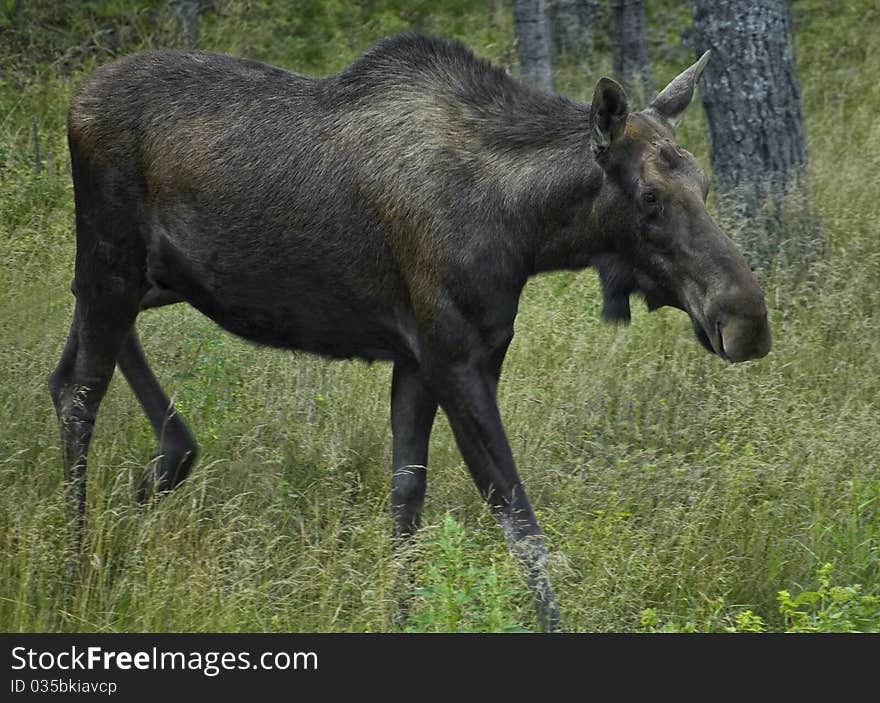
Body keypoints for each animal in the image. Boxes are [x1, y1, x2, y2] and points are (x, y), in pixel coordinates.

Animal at [49, 35, 768, 632]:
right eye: (649, 198)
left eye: (705, 182)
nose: (748, 321)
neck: (531, 233)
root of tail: (74, 98)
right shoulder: (455, 357)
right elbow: (518, 517)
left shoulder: (420, 360)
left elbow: (407, 498)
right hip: (113, 257)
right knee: (82, 390)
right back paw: (76, 567)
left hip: (151, 275)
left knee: (66, 365)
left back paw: (164, 465)